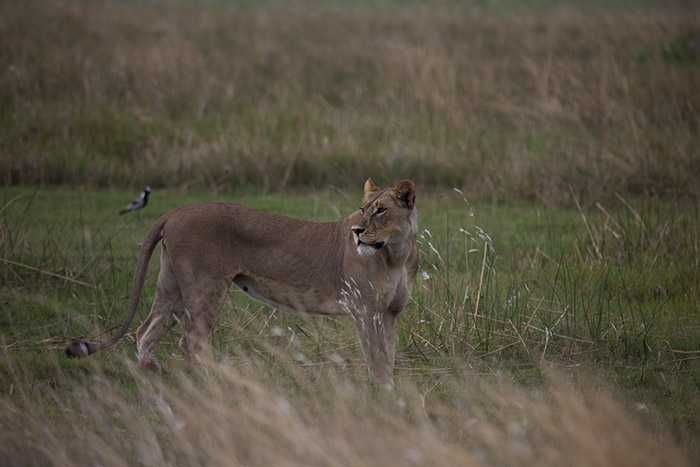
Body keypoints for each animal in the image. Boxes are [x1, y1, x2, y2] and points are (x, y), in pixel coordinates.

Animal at [66, 179, 418, 386]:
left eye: (381, 210)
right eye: (363, 209)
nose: (357, 231)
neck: (394, 253)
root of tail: (175, 212)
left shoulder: (390, 314)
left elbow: (388, 354)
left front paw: (389, 391)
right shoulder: (365, 311)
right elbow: (375, 354)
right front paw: (378, 393)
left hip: (172, 288)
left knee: (146, 331)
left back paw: (151, 376)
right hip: (206, 288)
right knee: (192, 342)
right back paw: (213, 384)